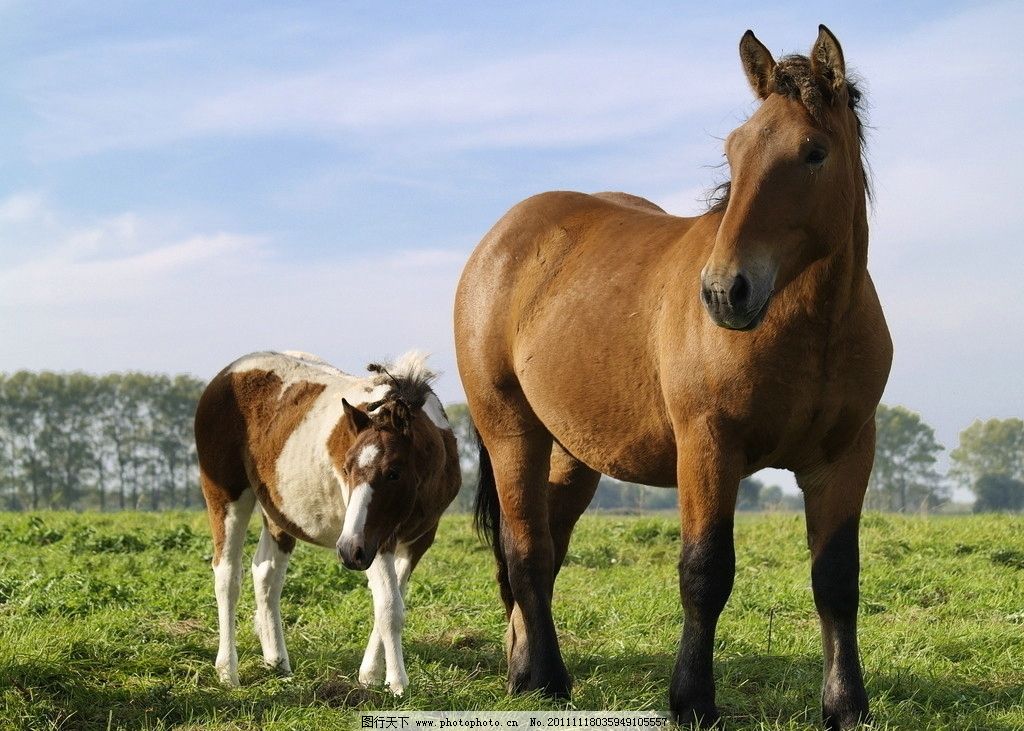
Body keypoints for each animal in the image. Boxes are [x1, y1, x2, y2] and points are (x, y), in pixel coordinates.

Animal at [193, 350, 458, 692]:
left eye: (393, 473)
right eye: (346, 468)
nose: (347, 551)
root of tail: (225, 375)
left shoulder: (416, 540)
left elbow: (392, 602)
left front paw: (370, 675)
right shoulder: (375, 540)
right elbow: (389, 606)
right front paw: (398, 684)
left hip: (279, 513)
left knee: (265, 573)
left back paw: (277, 662)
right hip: (226, 496)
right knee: (227, 576)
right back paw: (228, 672)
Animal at [456, 25, 888, 724]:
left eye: (814, 152)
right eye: (735, 151)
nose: (723, 292)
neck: (812, 327)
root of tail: (502, 239)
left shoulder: (846, 454)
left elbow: (836, 579)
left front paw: (846, 706)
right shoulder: (708, 446)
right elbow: (705, 573)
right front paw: (691, 701)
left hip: (574, 454)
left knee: (545, 552)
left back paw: (523, 667)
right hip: (510, 434)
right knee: (527, 552)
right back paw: (546, 679)